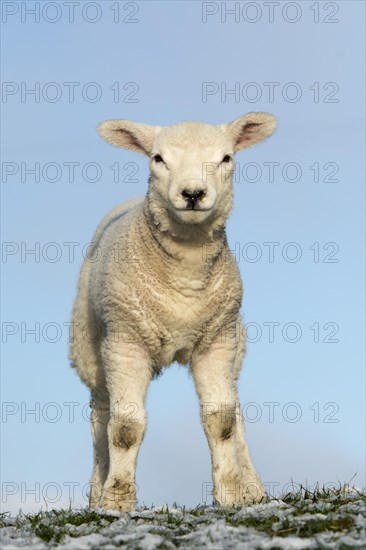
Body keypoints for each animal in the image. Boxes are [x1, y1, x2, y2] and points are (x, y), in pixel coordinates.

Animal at [70, 112, 278, 512]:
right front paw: (117, 501)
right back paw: (97, 493)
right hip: (92, 349)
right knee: (101, 415)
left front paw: (231, 496)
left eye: (226, 158)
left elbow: (222, 421)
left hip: (236, 344)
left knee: (237, 411)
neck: (186, 277)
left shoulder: (217, 340)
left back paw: (255, 488)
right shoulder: (126, 343)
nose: (193, 194)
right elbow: (125, 428)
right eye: (158, 158)